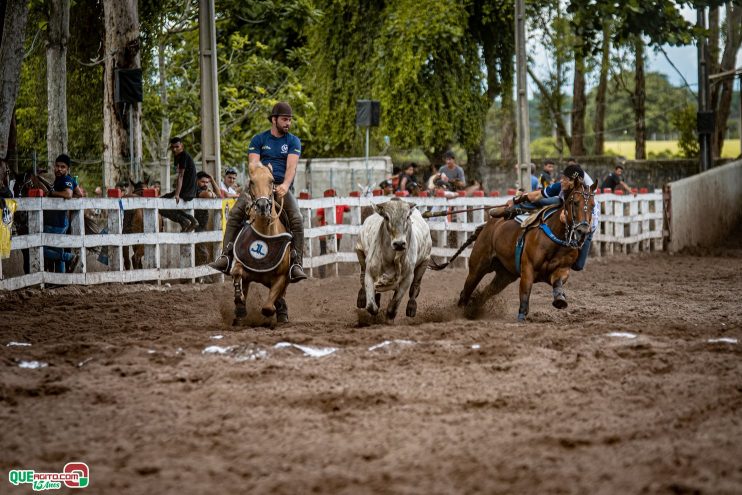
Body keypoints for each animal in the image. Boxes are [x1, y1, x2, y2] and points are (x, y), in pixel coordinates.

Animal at [231, 164, 292, 326]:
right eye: (251, 182)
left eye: (272, 181)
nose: (263, 206)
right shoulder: (242, 265)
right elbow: (236, 272)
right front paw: (239, 301)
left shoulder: (282, 277)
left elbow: (268, 308)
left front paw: (276, 311)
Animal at [436, 178, 600, 322]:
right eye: (575, 202)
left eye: (593, 205)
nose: (583, 231)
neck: (555, 237)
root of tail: (488, 225)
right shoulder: (528, 268)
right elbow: (525, 291)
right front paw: (522, 316)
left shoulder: (562, 269)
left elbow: (558, 283)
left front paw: (560, 299)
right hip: (478, 266)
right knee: (466, 291)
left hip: (505, 275)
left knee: (485, 293)